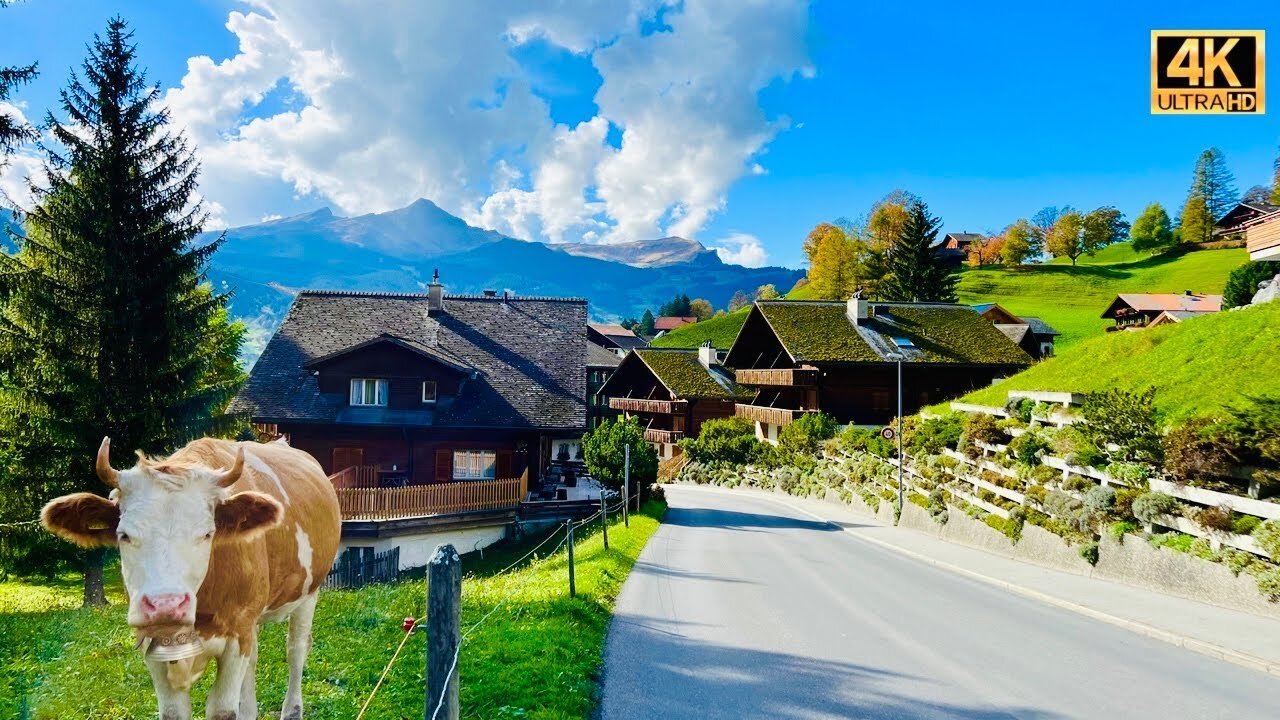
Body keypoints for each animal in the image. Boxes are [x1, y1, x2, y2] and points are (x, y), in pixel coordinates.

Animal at [41, 435, 340, 712]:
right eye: (123, 534)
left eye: (208, 533)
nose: (166, 605)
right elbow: (175, 709)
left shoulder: (236, 636)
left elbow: (222, 708)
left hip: (308, 594)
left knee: (296, 650)